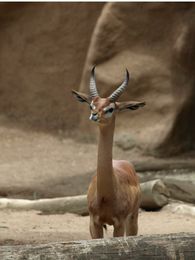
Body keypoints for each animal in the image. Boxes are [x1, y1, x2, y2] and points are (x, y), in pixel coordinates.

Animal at [71, 66, 145, 238]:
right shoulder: (94, 223)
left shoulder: (120, 223)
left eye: (110, 108)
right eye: (91, 105)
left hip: (133, 219)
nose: (94, 115)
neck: (106, 195)